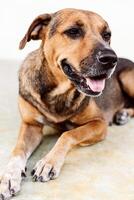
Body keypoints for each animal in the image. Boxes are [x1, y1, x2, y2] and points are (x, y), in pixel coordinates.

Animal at [0, 8, 134, 200]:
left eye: (106, 35)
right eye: (73, 31)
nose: (111, 59)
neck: (58, 92)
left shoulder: (99, 124)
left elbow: (68, 134)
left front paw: (48, 163)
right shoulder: (31, 125)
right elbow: (17, 150)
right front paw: (9, 176)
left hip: (127, 77)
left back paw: (123, 114)